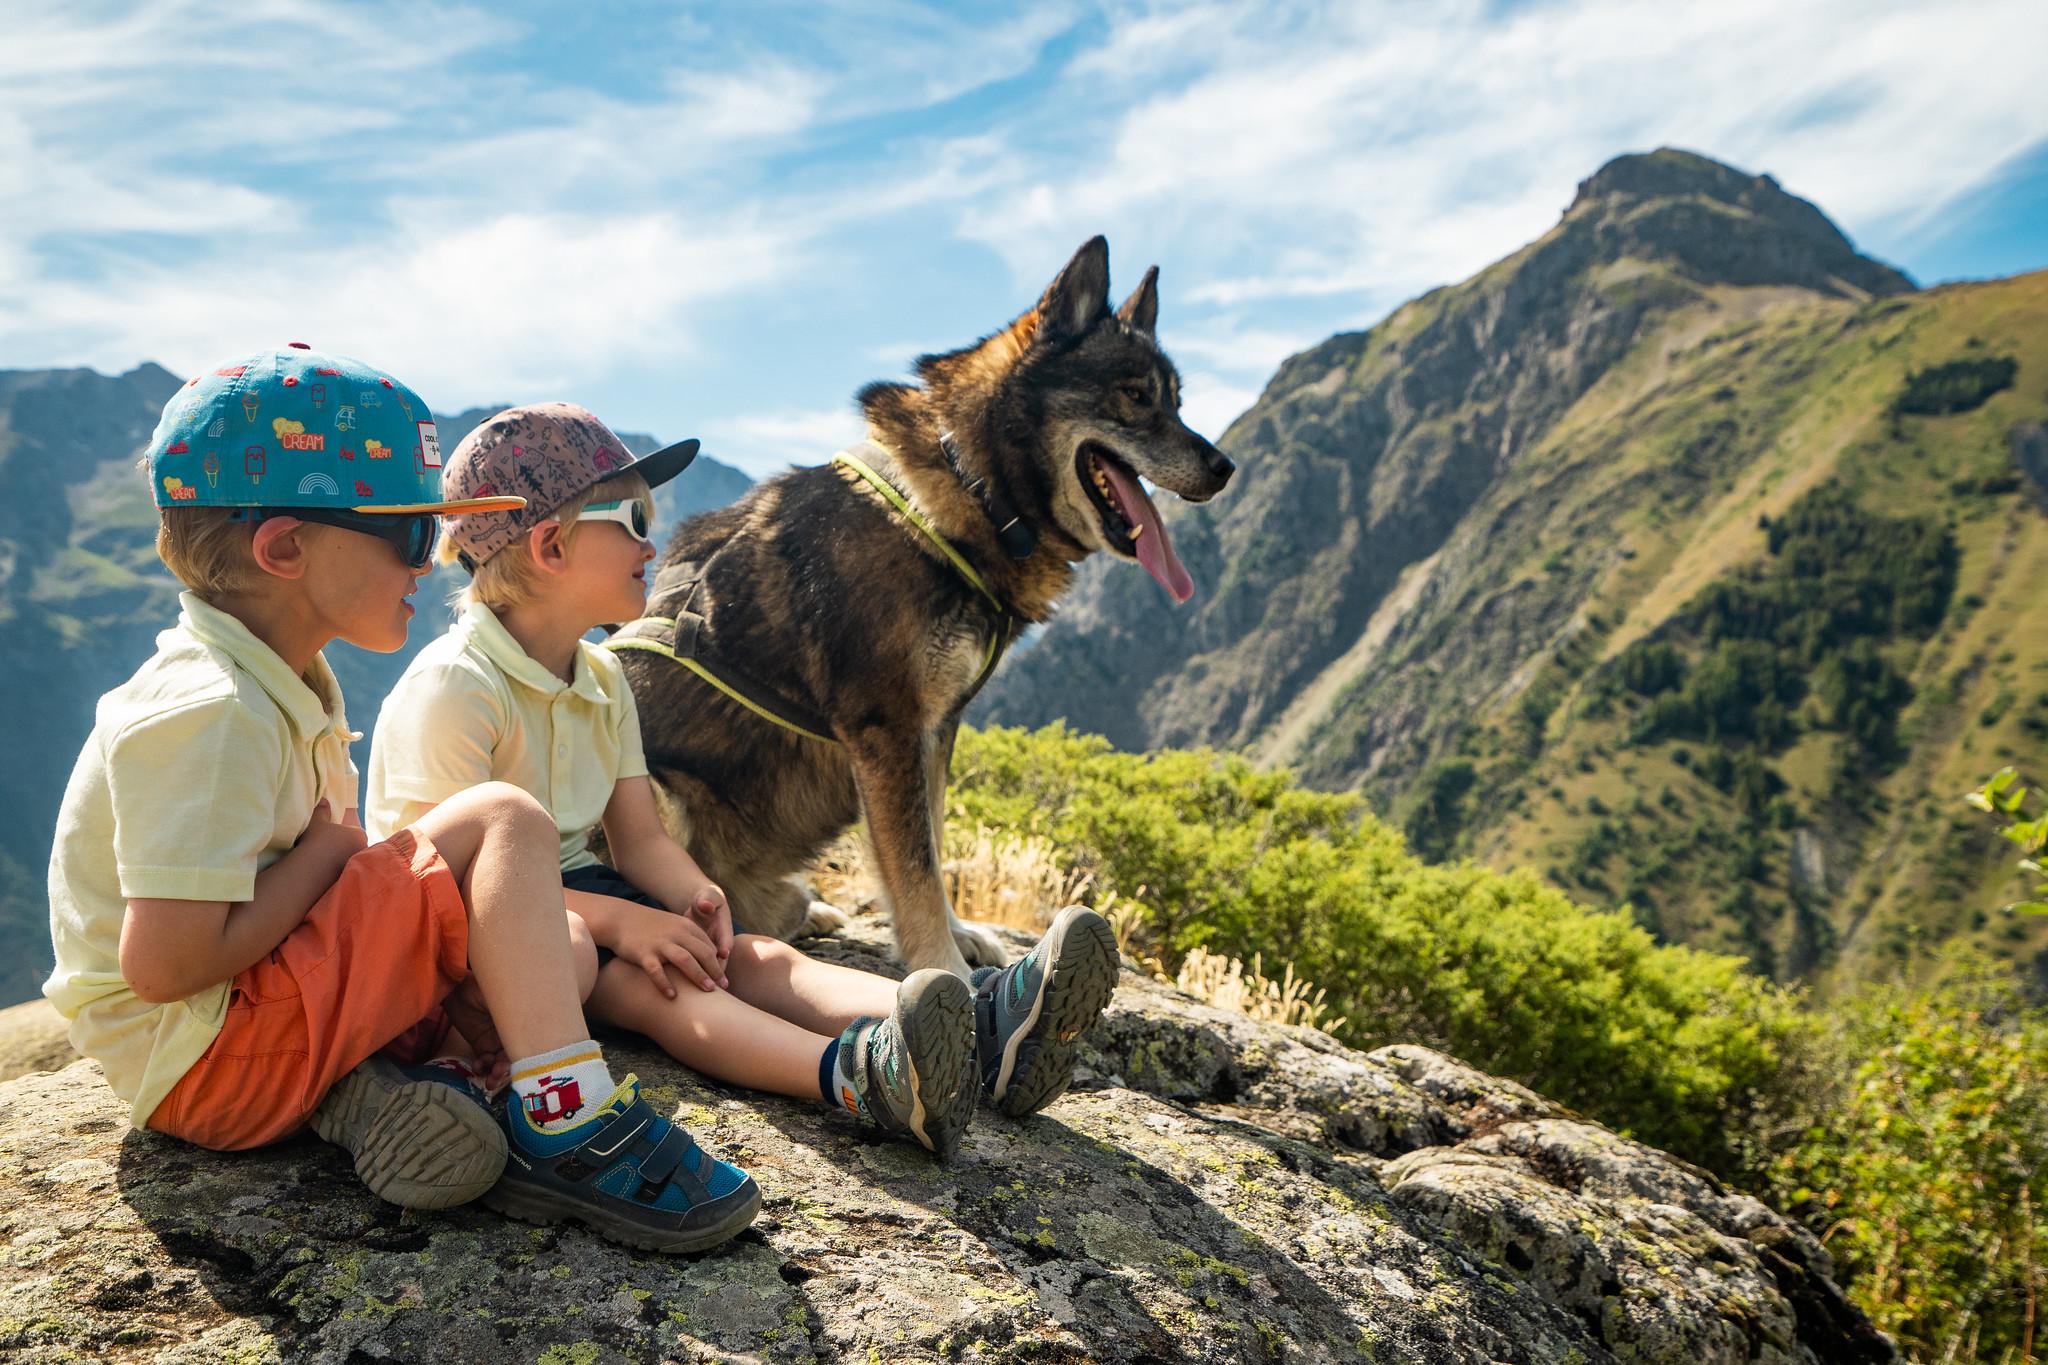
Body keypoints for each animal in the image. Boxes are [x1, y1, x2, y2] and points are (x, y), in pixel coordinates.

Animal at [610, 237, 1228, 982]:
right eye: (1135, 397)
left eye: (1178, 401)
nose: (1224, 467)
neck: (971, 489)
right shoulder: (888, 728)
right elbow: (913, 867)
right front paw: (943, 967)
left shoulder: (936, 728)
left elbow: (932, 838)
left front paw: (957, 936)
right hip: (657, 795)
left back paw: (800, 911)